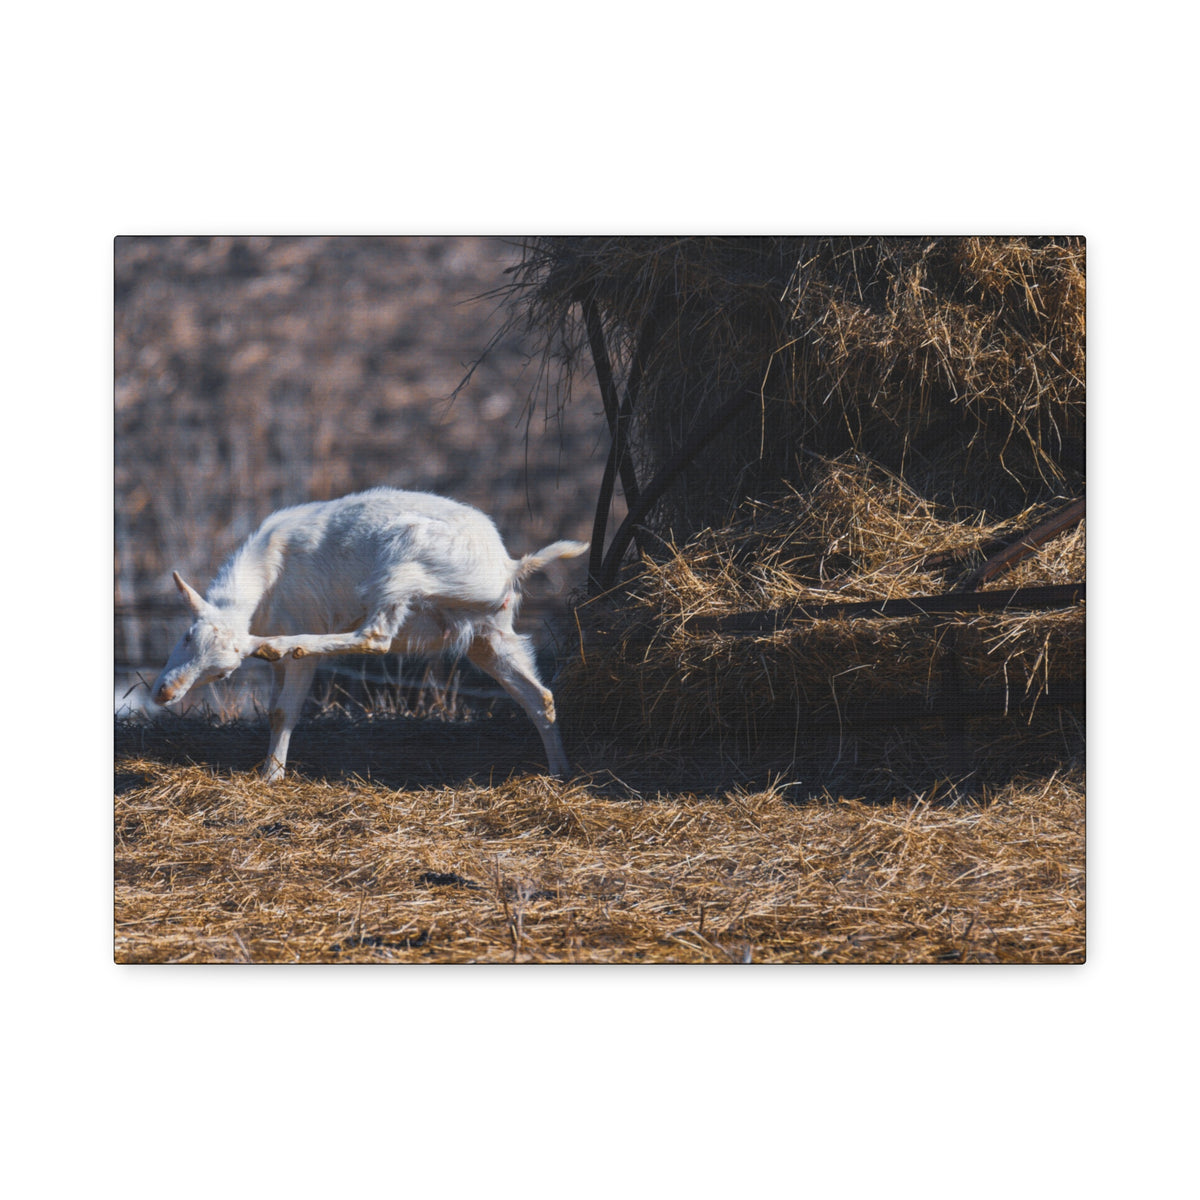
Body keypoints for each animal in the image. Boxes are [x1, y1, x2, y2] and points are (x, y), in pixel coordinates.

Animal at [151, 488, 588, 780]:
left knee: (375, 636)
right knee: (539, 696)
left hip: (402, 567)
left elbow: (283, 711)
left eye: (223, 674)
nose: (164, 694)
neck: (266, 573)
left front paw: (269, 777)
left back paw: (280, 647)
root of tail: (508, 566)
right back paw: (560, 771)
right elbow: (276, 707)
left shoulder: (303, 620)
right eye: (187, 636)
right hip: (490, 635)